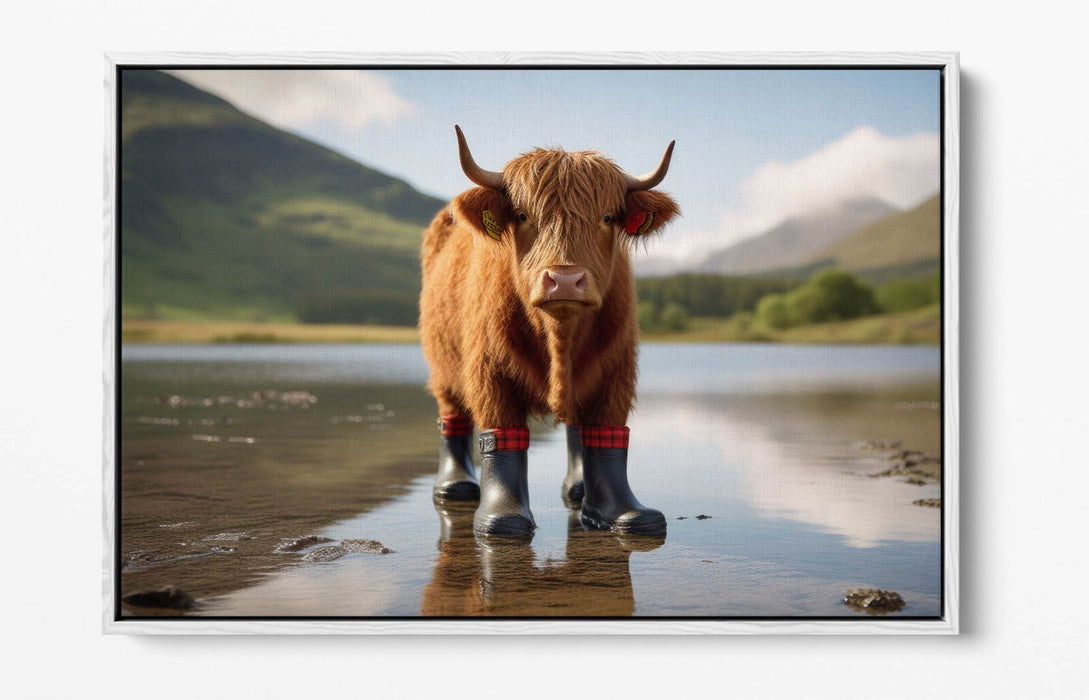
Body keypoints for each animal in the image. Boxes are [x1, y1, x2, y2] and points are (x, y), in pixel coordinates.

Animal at [420, 125, 679, 539]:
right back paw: (455, 486)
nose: (565, 280)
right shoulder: (489, 372)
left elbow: (607, 434)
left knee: (576, 427)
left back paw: (577, 489)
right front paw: (503, 518)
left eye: (608, 216)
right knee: (452, 419)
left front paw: (622, 514)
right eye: (523, 215)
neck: (559, 333)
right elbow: (502, 437)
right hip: (442, 369)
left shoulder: (617, 370)